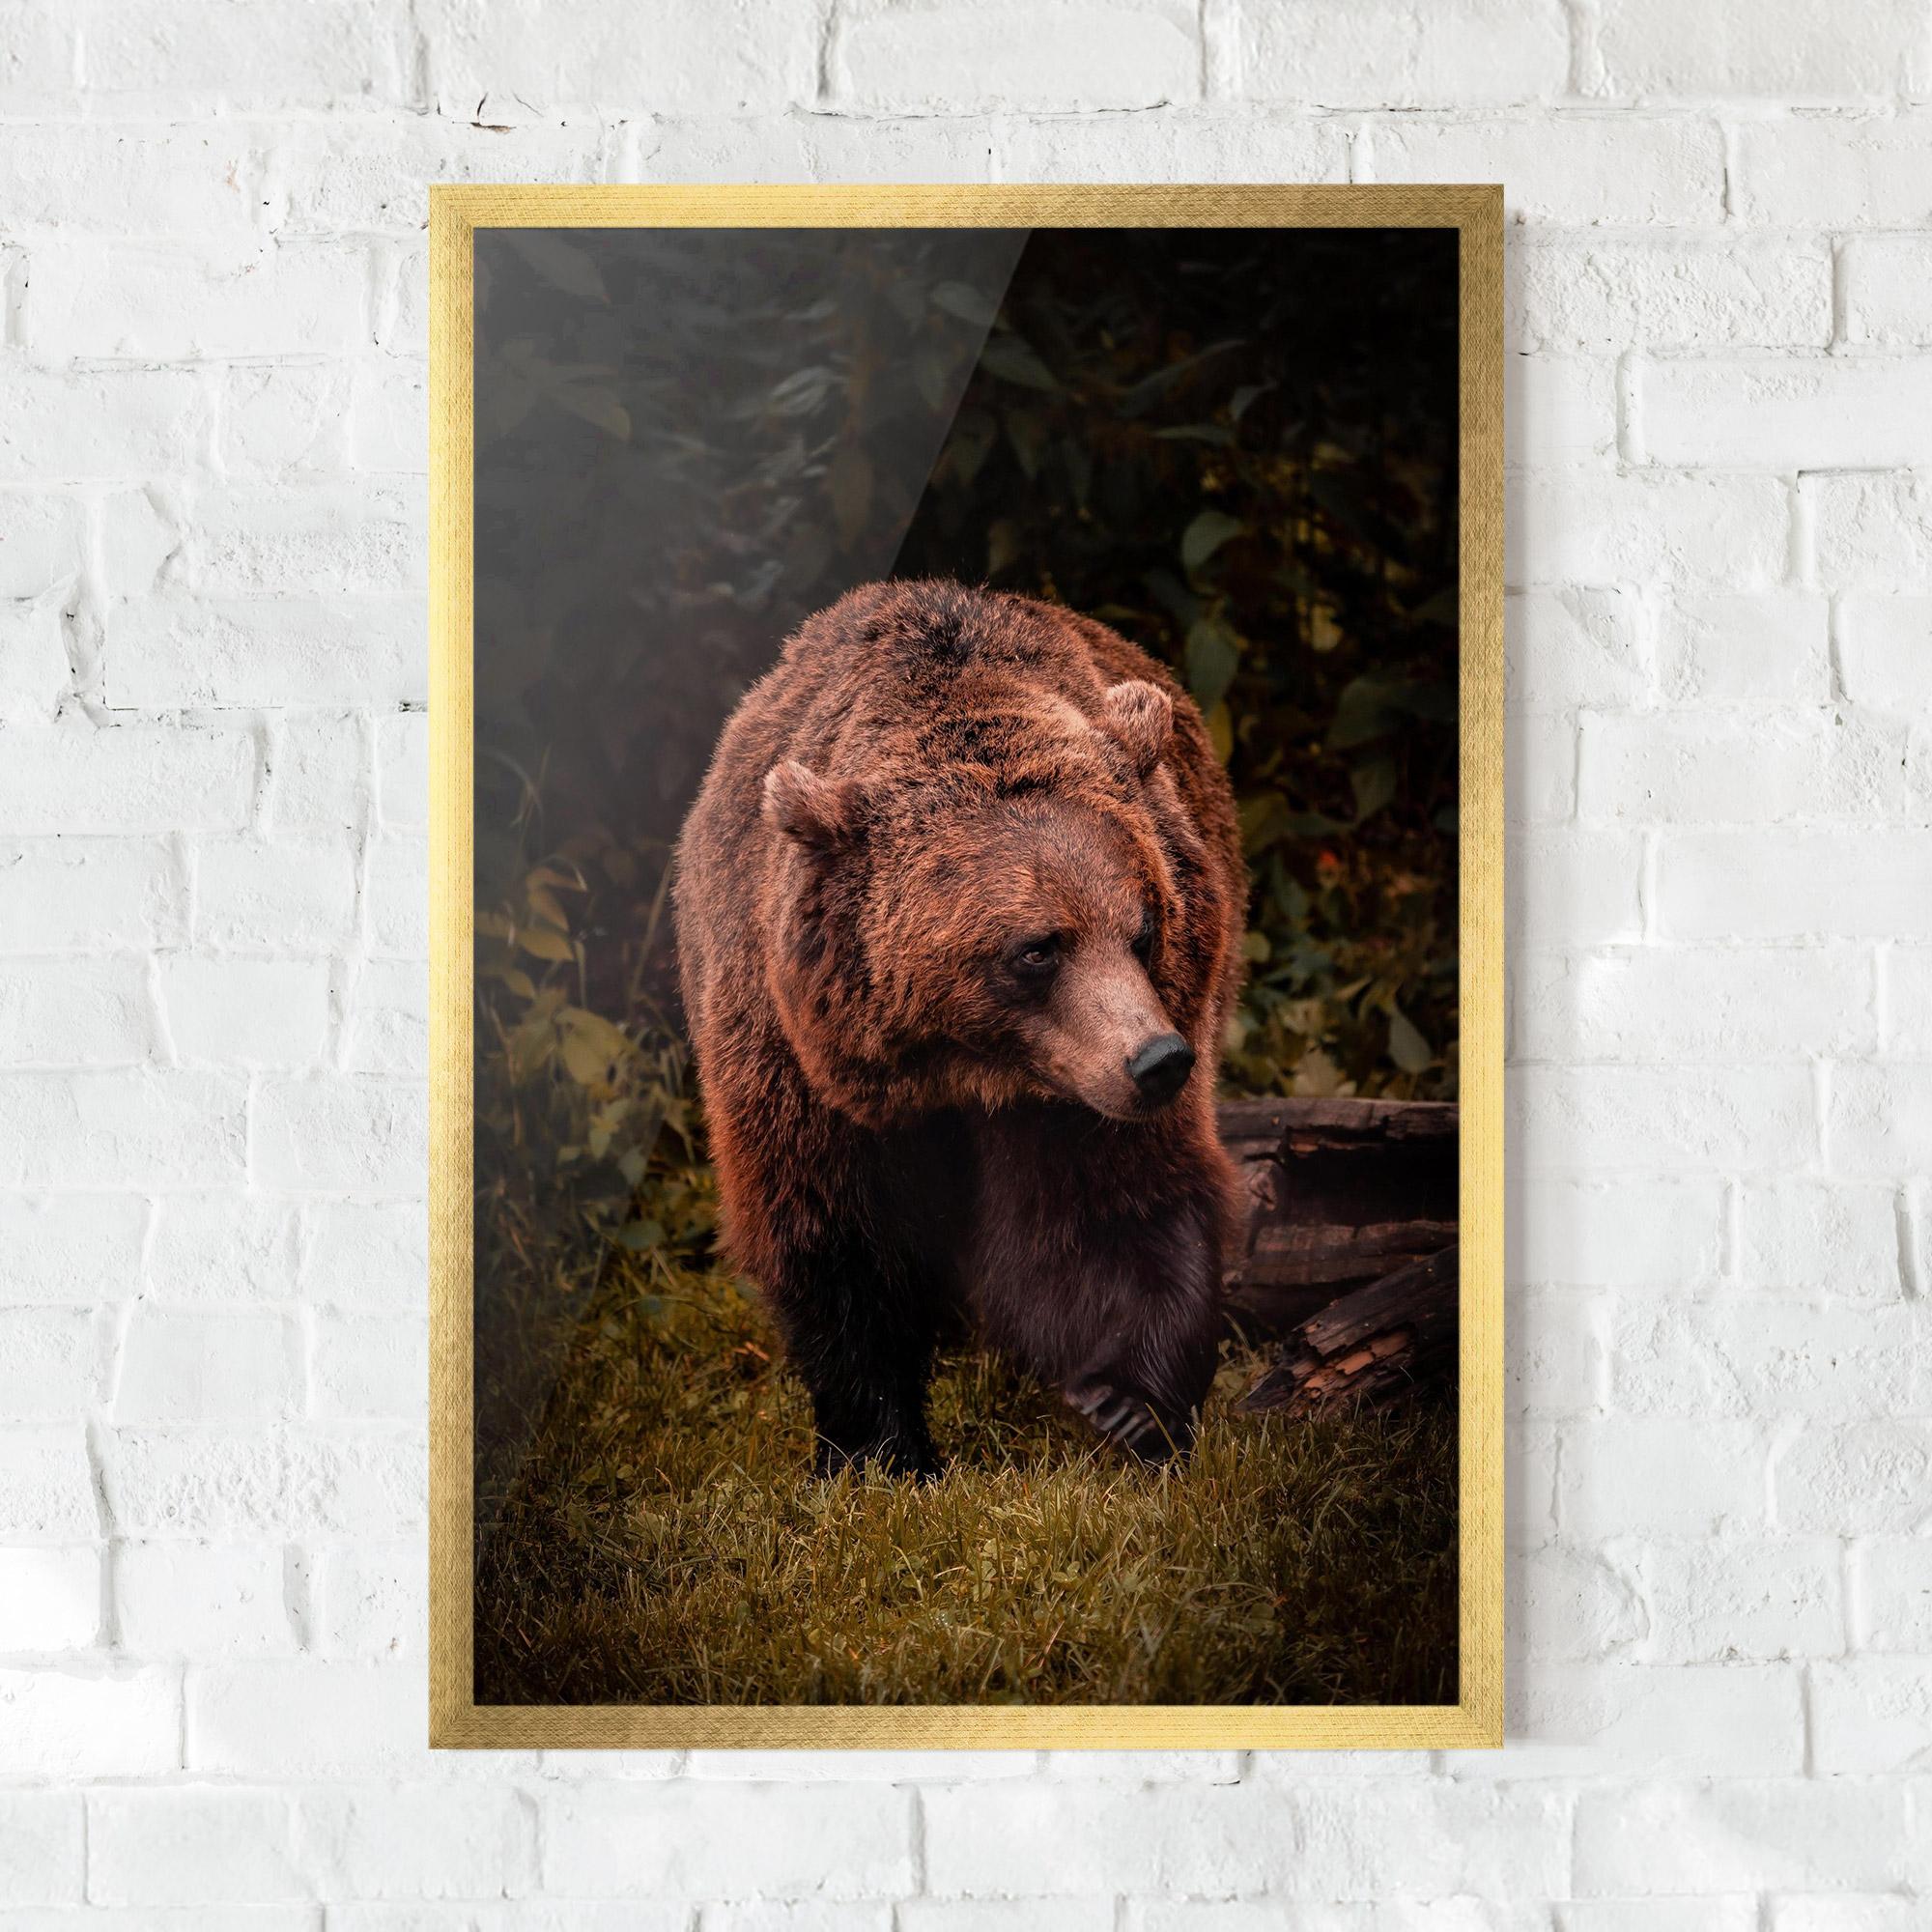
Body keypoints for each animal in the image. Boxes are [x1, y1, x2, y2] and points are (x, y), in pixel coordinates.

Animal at [673, 578, 1248, 1477]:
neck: (962, 1069)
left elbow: (1110, 1209)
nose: (1158, 1060)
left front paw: (1128, 1403)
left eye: (1144, 926)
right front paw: (879, 1447)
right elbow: (837, 1237)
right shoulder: (795, 1061)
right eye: (1037, 949)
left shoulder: (1076, 1088)